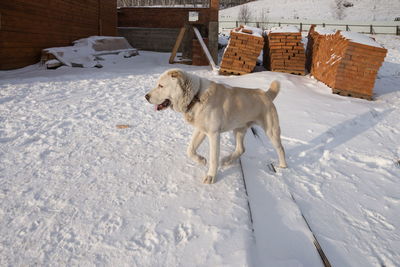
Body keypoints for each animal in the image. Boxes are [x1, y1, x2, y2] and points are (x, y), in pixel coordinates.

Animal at [145, 69, 286, 184]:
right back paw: (227, 160)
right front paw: (201, 160)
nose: (146, 96)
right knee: (241, 149)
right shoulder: (201, 130)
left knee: (280, 148)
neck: (195, 96)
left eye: (161, 85)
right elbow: (190, 150)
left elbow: (213, 158)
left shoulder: (214, 134)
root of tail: (266, 93)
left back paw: (283, 167)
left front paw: (211, 177)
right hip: (239, 129)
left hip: (271, 130)